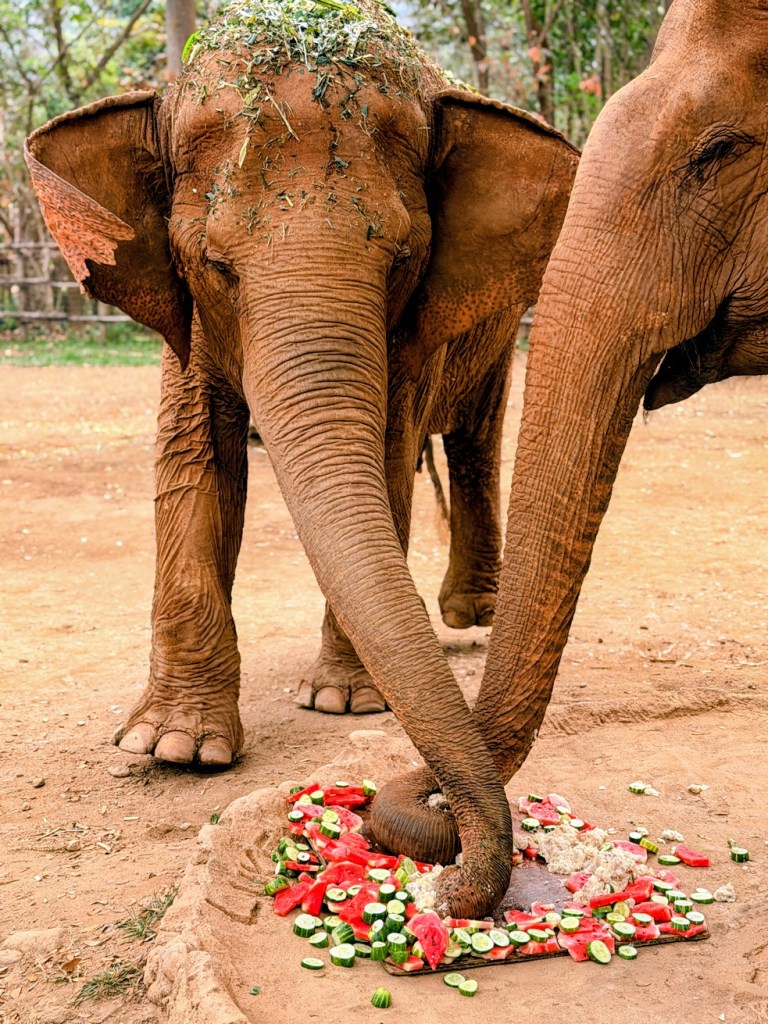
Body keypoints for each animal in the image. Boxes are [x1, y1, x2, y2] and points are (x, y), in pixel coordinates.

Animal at [25, 0, 578, 916]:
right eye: (216, 266)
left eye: (401, 262)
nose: (453, 863)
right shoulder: (183, 315)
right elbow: (194, 461)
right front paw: (173, 749)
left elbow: (386, 454)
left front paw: (341, 704)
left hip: (506, 311)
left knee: (472, 432)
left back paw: (472, 615)